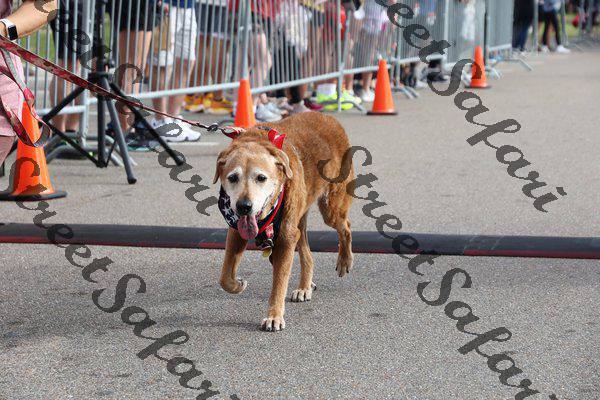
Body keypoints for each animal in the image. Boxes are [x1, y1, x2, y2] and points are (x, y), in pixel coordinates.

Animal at [213, 112, 355, 331]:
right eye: (233, 177)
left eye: (261, 178)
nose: (244, 206)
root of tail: (328, 117)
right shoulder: (236, 232)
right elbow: (224, 277)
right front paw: (237, 284)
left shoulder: (286, 238)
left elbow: (279, 282)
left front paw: (274, 316)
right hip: (299, 219)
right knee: (307, 253)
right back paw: (305, 286)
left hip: (330, 207)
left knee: (345, 228)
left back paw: (344, 260)